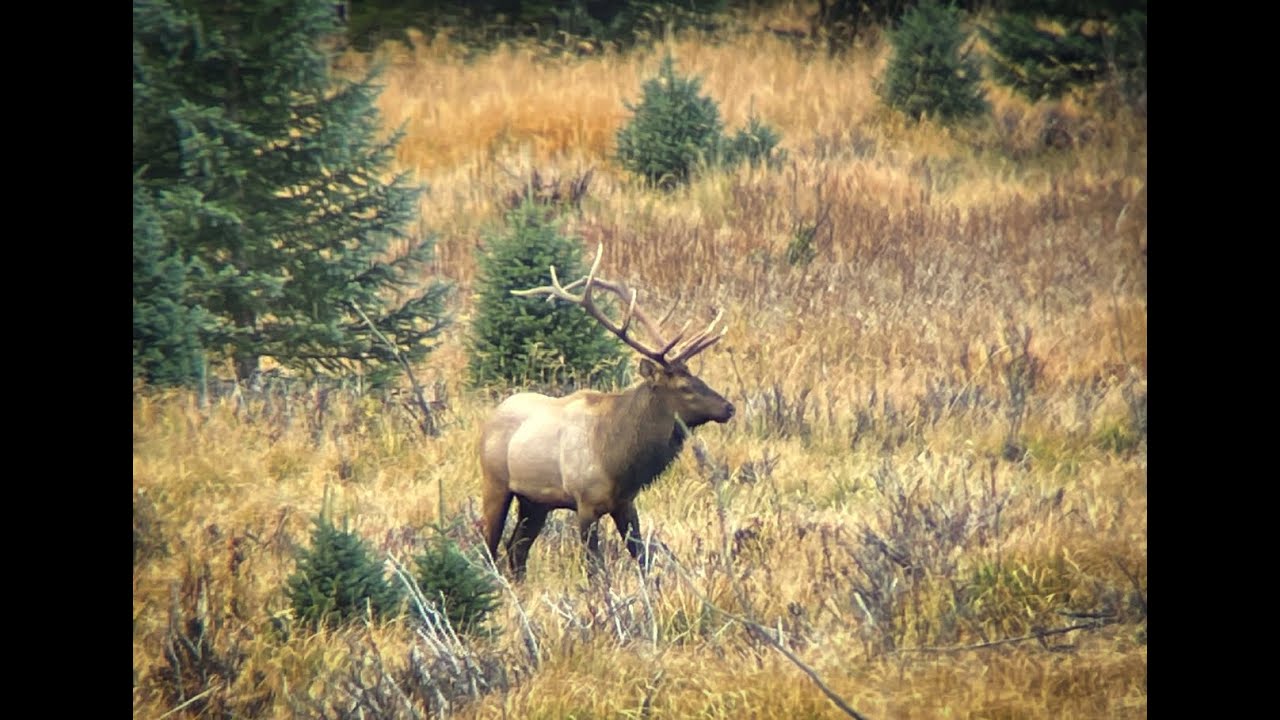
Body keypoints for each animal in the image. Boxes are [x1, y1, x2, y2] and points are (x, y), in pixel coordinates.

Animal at [478, 243, 735, 580]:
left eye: (698, 378)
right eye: (684, 387)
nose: (728, 407)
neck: (619, 461)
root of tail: (491, 417)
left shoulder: (625, 503)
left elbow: (642, 557)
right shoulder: (585, 503)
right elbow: (595, 568)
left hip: (535, 501)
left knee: (516, 549)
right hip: (495, 483)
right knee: (490, 546)